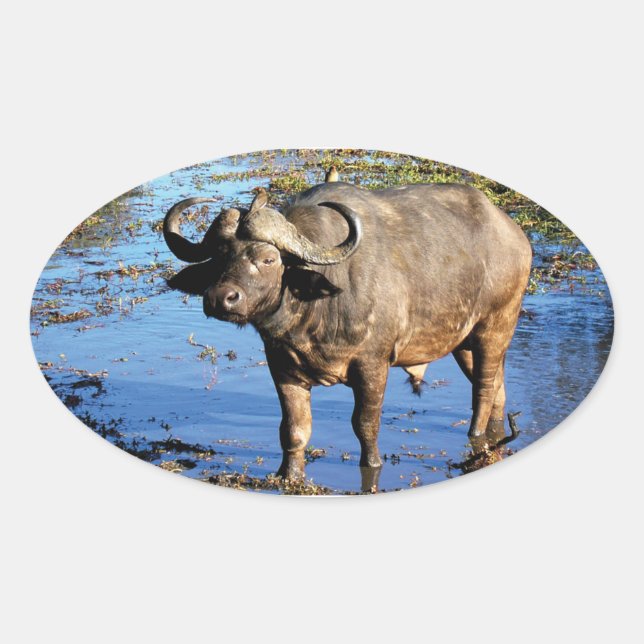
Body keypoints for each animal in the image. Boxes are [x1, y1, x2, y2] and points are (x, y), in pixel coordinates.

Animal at [163, 176, 532, 484]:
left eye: (268, 259)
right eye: (220, 256)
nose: (220, 298)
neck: (315, 311)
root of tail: (515, 236)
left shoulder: (373, 365)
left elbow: (365, 426)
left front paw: (372, 465)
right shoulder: (282, 367)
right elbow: (294, 429)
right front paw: (288, 475)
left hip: (495, 327)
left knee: (483, 392)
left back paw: (475, 439)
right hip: (464, 344)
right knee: (498, 390)